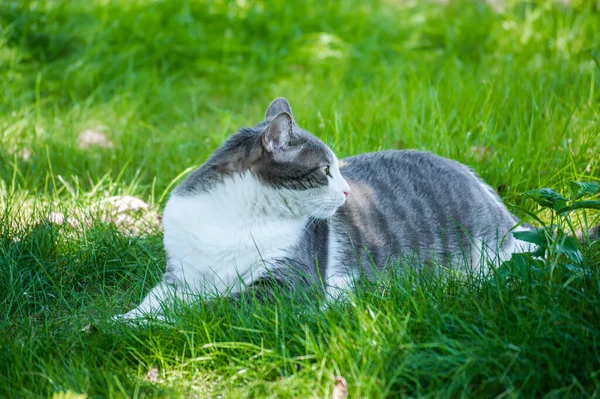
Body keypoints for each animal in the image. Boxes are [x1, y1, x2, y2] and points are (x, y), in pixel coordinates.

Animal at [115, 99, 532, 322]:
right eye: (326, 170)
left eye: (339, 168)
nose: (346, 190)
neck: (235, 219)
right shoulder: (181, 277)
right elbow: (153, 302)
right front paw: (119, 321)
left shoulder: (287, 286)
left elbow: (210, 309)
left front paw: (166, 322)